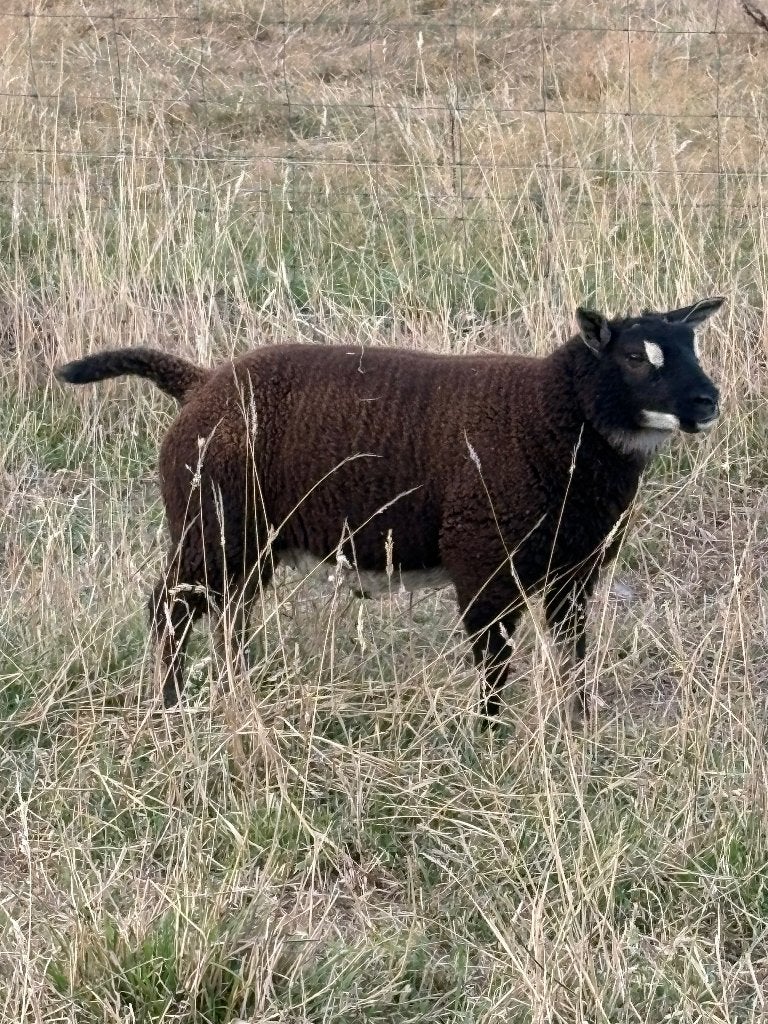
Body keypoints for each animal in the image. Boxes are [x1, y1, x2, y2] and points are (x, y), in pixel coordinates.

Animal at [56, 298, 724, 718]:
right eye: (635, 357)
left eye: (692, 345)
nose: (708, 401)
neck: (554, 416)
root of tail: (201, 383)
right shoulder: (482, 558)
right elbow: (494, 664)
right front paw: (489, 737)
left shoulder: (574, 571)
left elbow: (574, 658)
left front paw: (575, 730)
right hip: (210, 523)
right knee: (169, 608)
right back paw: (172, 707)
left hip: (248, 539)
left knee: (229, 614)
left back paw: (237, 692)